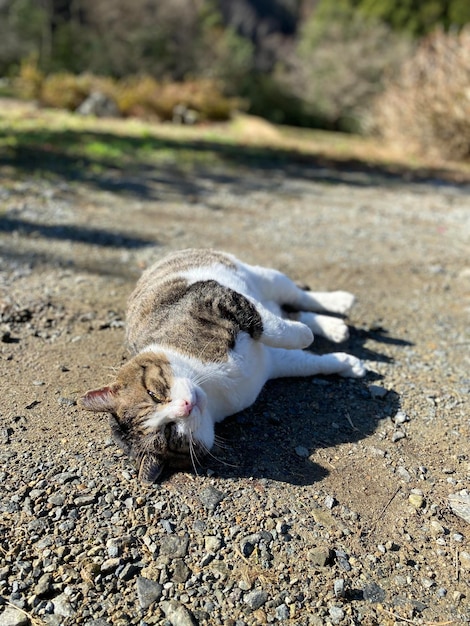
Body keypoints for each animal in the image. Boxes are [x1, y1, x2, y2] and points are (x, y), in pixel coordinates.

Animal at [79, 249, 366, 482]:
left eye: (154, 393)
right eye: (169, 434)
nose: (186, 406)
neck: (212, 385)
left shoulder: (213, 298)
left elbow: (272, 327)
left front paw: (306, 336)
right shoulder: (272, 365)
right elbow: (307, 363)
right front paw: (347, 364)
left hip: (258, 276)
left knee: (294, 298)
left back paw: (338, 303)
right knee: (290, 310)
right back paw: (335, 327)